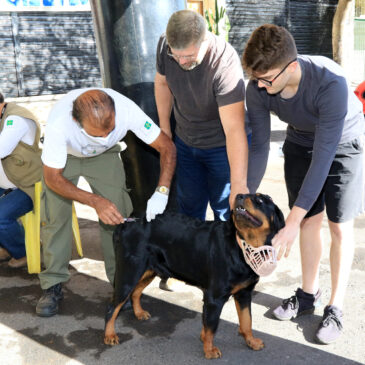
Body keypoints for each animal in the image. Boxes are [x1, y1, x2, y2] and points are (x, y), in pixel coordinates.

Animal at [104, 193, 282, 358]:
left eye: (260, 200)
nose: (239, 196)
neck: (242, 246)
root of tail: (127, 223)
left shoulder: (244, 293)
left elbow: (246, 321)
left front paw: (251, 341)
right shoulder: (214, 298)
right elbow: (212, 327)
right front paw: (209, 350)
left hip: (148, 271)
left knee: (135, 292)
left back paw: (139, 313)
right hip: (130, 272)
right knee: (113, 307)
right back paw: (109, 335)